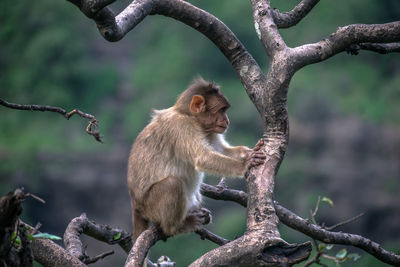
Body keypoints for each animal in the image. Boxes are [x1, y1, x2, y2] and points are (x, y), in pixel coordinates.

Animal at [127, 76, 266, 242]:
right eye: (221, 110)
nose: (227, 121)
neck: (188, 115)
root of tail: (135, 205)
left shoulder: (208, 131)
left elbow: (221, 150)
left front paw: (248, 152)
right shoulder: (181, 127)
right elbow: (202, 158)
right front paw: (245, 165)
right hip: (150, 207)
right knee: (172, 184)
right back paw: (176, 227)